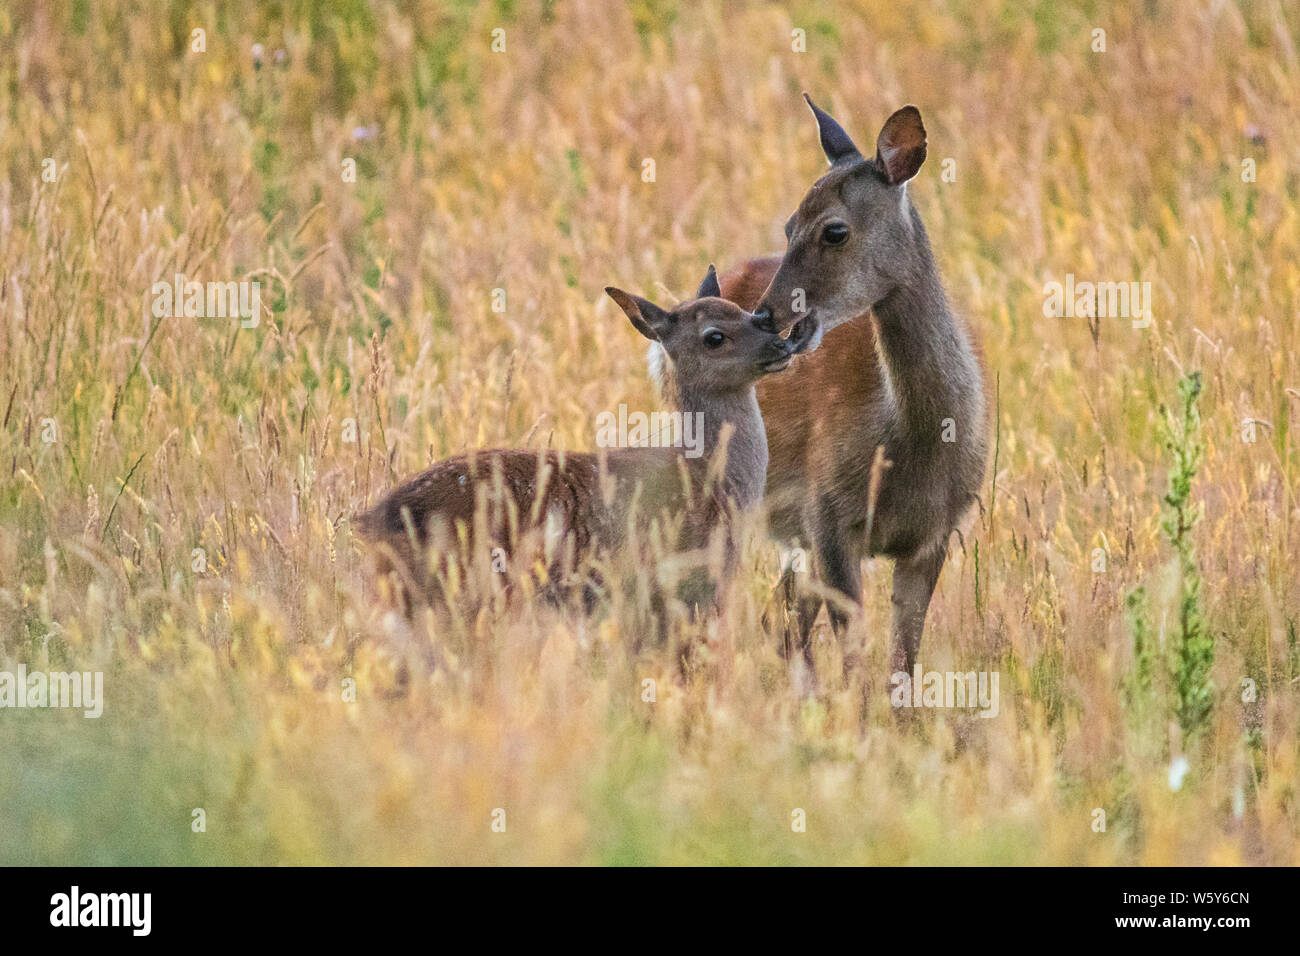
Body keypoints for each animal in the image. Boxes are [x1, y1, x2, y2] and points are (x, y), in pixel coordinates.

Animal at [691, 95, 982, 671]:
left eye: (834, 230)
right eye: (788, 226)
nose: (766, 315)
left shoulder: (933, 536)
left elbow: (901, 662)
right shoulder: (827, 517)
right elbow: (855, 657)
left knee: (779, 622)